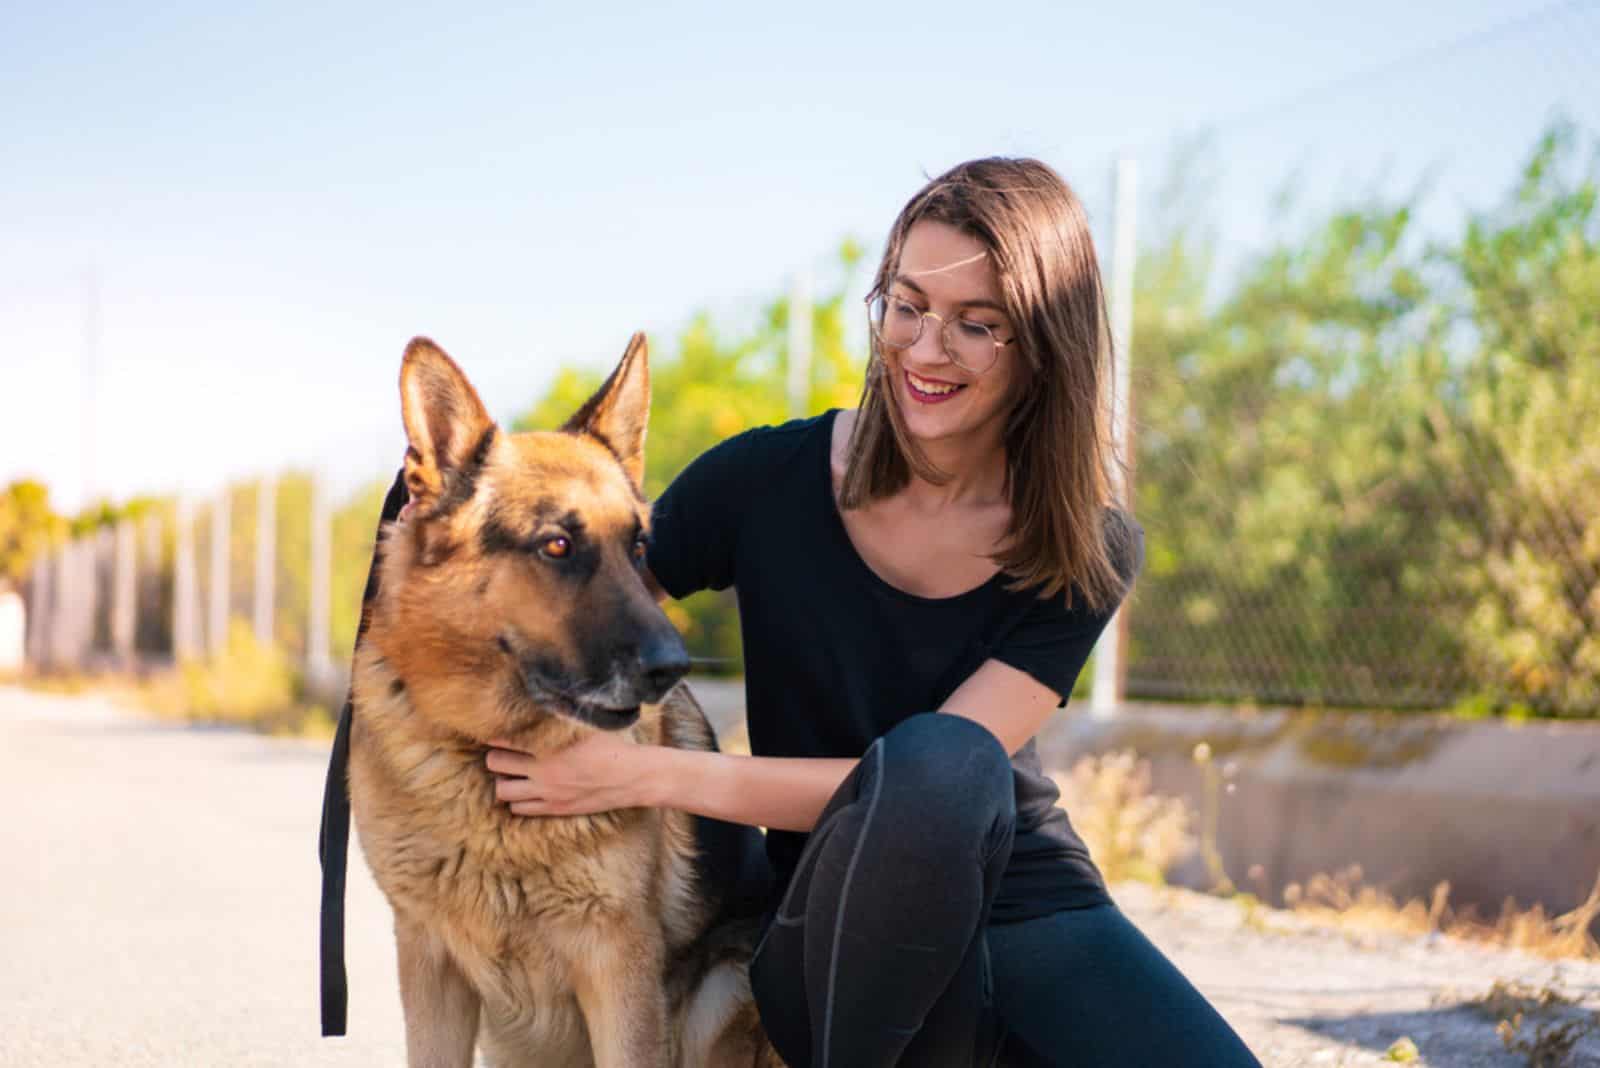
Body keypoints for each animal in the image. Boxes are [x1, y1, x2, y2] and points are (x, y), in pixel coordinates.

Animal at [347, 335, 784, 1068]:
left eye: (638, 546)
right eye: (557, 545)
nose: (673, 668)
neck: (483, 757)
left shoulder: (617, 968)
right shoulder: (429, 963)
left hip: (728, 981)